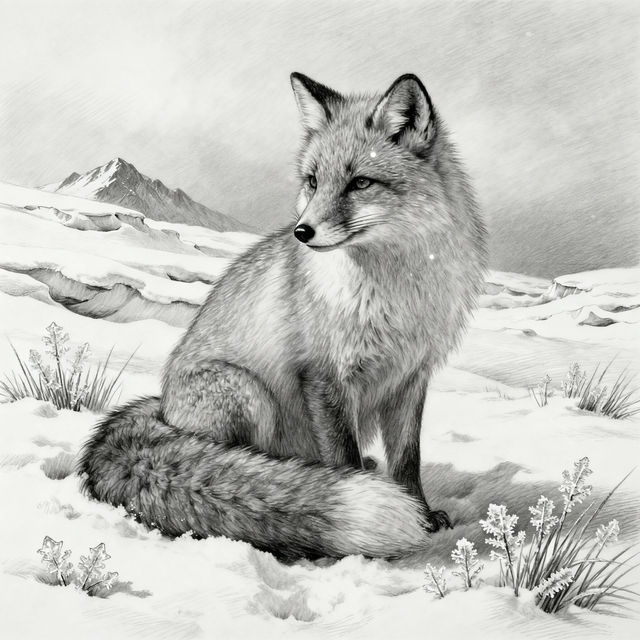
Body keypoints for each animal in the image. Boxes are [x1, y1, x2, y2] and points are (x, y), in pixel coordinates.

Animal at [78, 72, 487, 560]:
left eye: (361, 183)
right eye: (313, 180)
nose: (301, 232)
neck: (395, 293)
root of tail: (163, 407)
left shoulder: (410, 378)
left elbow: (408, 460)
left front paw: (423, 516)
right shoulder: (324, 376)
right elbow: (344, 456)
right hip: (249, 393)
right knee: (241, 463)